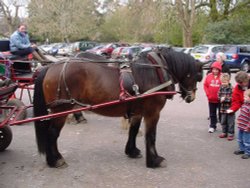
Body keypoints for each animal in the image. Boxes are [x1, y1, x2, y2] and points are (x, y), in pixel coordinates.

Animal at [33, 47, 203, 169]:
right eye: (197, 76)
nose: (191, 96)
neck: (155, 72)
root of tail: (51, 67)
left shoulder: (138, 112)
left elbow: (133, 131)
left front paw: (132, 151)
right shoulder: (153, 113)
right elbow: (151, 136)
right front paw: (154, 160)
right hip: (62, 109)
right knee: (52, 133)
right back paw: (55, 160)